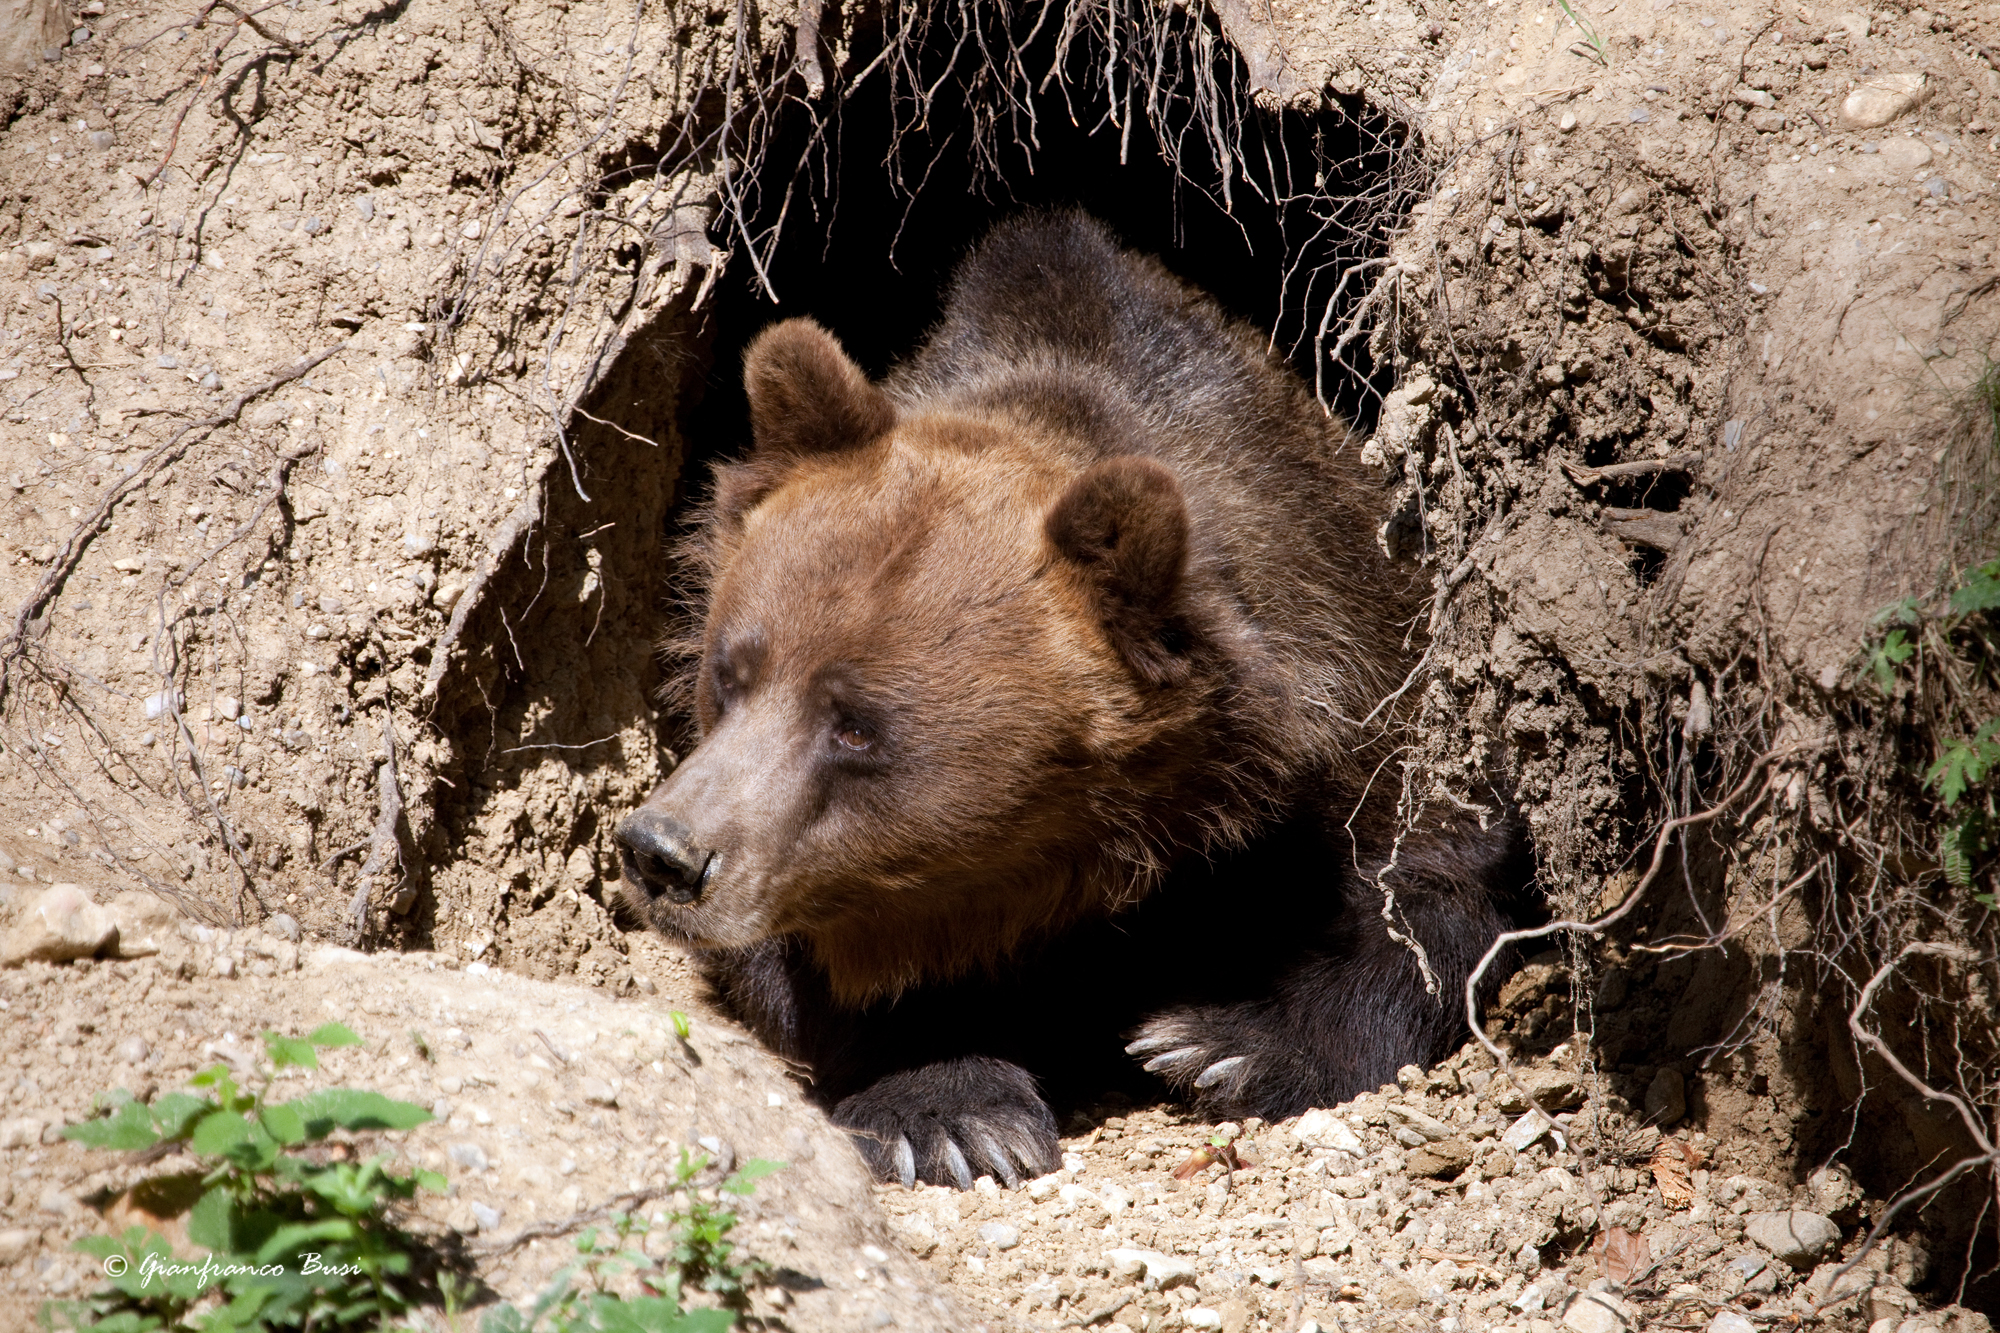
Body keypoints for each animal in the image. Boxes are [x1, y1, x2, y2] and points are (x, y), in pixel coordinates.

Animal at [614, 211, 1534, 1189]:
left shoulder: (1359, 667)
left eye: (856, 725)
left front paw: (1219, 1043)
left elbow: (1432, 889)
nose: (664, 851)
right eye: (730, 672)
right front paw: (951, 1112)